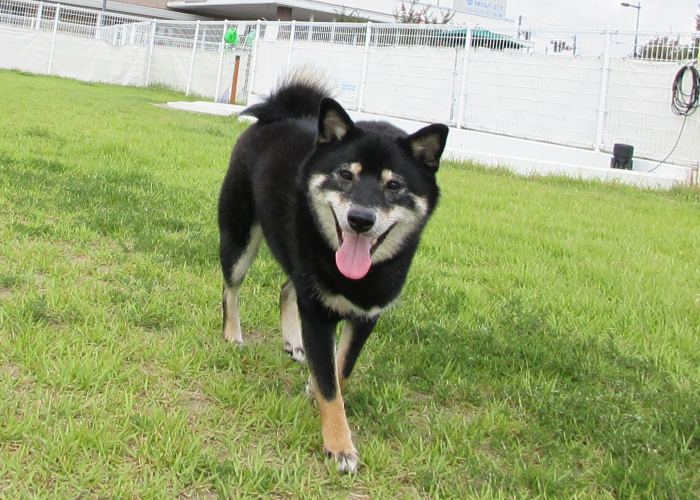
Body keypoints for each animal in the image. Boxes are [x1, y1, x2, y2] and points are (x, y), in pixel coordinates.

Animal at [217, 74, 448, 473]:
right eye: (345, 175)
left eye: (394, 185)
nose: (360, 219)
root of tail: (279, 114)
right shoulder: (317, 314)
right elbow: (329, 384)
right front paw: (339, 446)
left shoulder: (366, 316)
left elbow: (340, 370)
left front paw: (314, 388)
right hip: (240, 239)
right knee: (231, 290)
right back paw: (233, 334)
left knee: (285, 287)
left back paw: (293, 343)